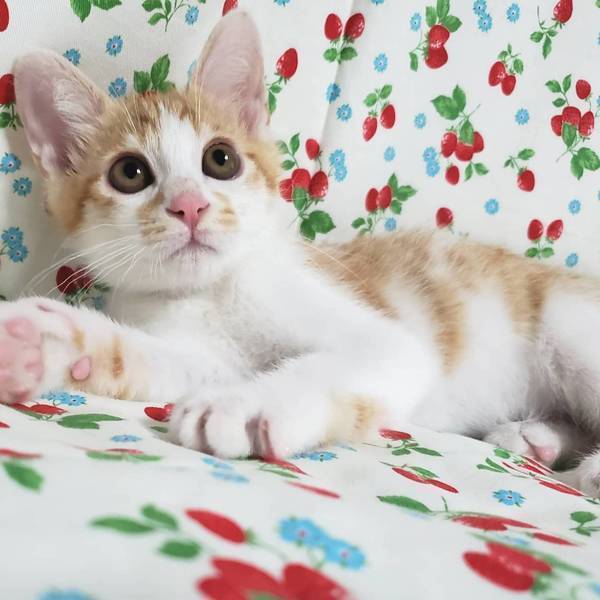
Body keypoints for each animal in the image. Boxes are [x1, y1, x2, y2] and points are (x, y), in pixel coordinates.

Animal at [3, 10, 600, 495]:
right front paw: (42, 338)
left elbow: (335, 363)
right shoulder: (202, 354)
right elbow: (149, 358)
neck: (210, 292)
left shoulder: (386, 339)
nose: (190, 206)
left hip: (571, 330)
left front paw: (247, 404)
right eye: (130, 174)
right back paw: (535, 436)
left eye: (220, 160)